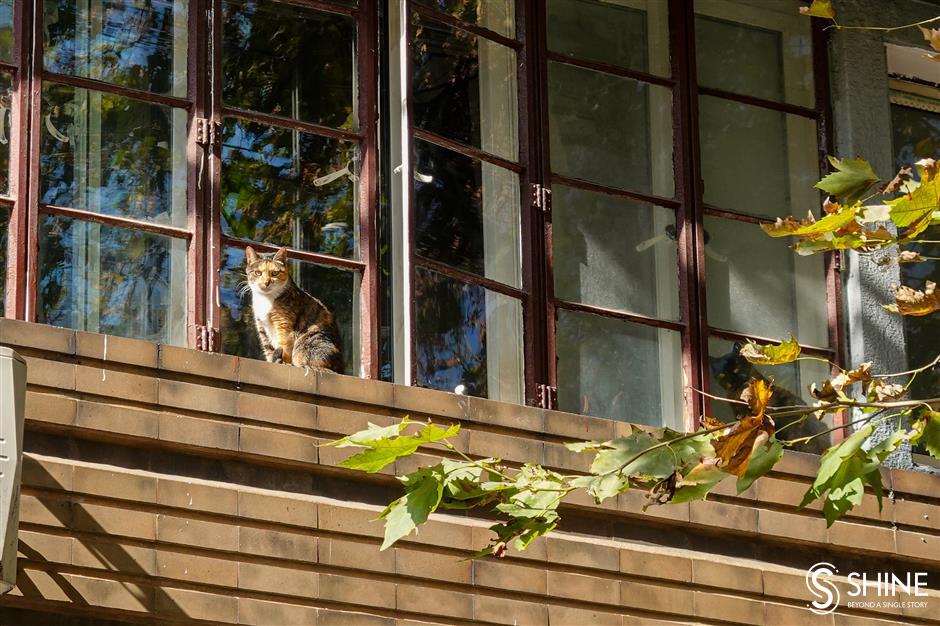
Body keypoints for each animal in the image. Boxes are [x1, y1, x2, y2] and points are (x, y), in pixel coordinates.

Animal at [244, 244, 344, 372]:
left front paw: (284, 364)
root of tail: (342, 369)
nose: (266, 282)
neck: (265, 300)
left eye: (274, 273)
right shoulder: (261, 327)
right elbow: (269, 351)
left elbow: (284, 348)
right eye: (258, 273)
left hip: (308, 342)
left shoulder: (284, 325)